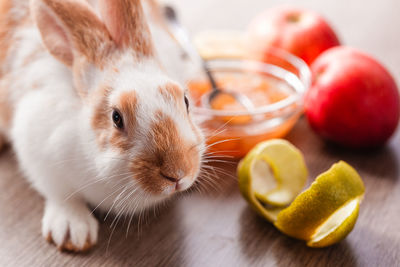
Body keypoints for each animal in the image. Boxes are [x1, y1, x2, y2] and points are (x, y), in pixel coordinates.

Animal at [0, 0, 203, 252]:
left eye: (185, 100)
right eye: (116, 117)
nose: (177, 174)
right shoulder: (38, 151)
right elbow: (61, 194)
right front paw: (72, 232)